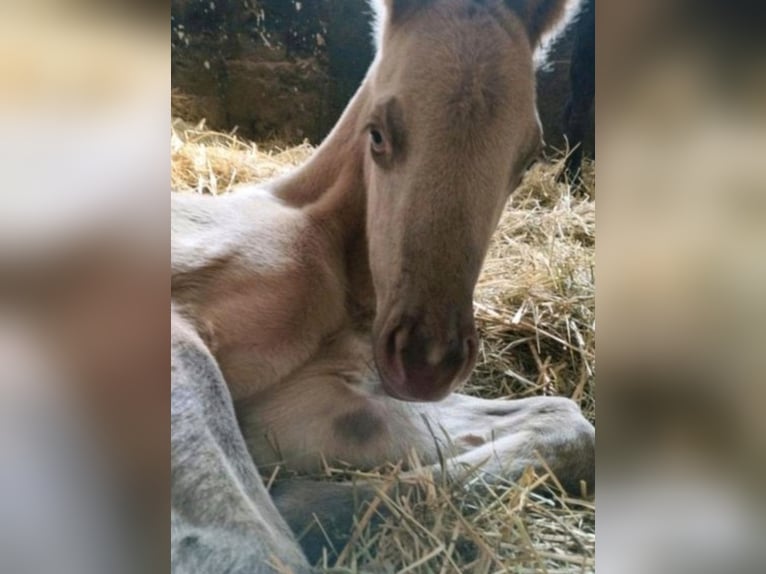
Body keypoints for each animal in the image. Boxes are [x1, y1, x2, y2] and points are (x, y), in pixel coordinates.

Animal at [171, 1, 594, 572]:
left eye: (527, 159)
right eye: (378, 134)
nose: (426, 360)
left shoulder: (305, 399)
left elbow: (568, 421)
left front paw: (307, 505)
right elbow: (248, 540)